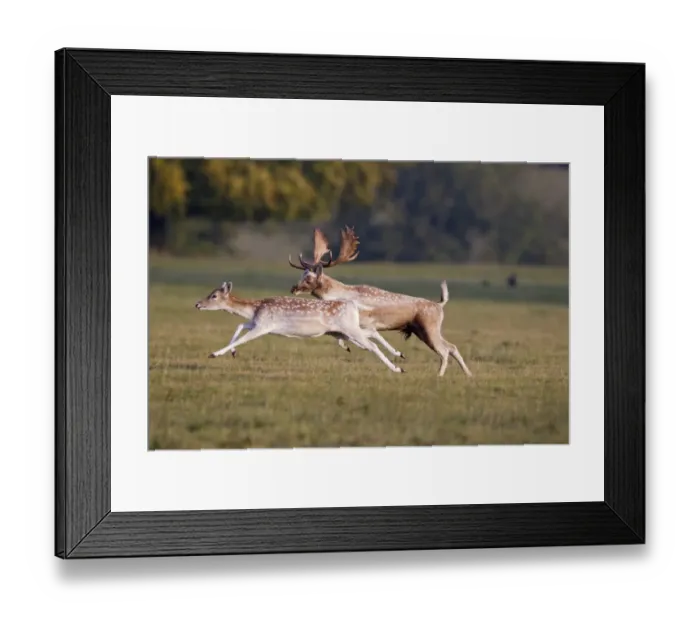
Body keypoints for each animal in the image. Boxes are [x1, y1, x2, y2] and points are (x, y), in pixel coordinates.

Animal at [194, 281, 405, 373]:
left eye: (214, 296)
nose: (197, 304)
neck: (255, 308)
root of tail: (352, 305)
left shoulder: (265, 324)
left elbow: (244, 337)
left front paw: (214, 354)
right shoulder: (257, 322)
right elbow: (239, 325)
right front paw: (233, 352)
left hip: (349, 329)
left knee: (371, 344)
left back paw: (397, 369)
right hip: (342, 331)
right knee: (370, 334)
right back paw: (399, 354)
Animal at [288, 226, 473, 378]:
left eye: (309, 278)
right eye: (302, 274)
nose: (293, 288)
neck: (339, 294)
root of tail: (440, 304)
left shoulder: (365, 323)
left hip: (429, 328)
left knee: (444, 350)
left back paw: (439, 375)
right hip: (423, 330)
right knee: (452, 347)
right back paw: (468, 374)